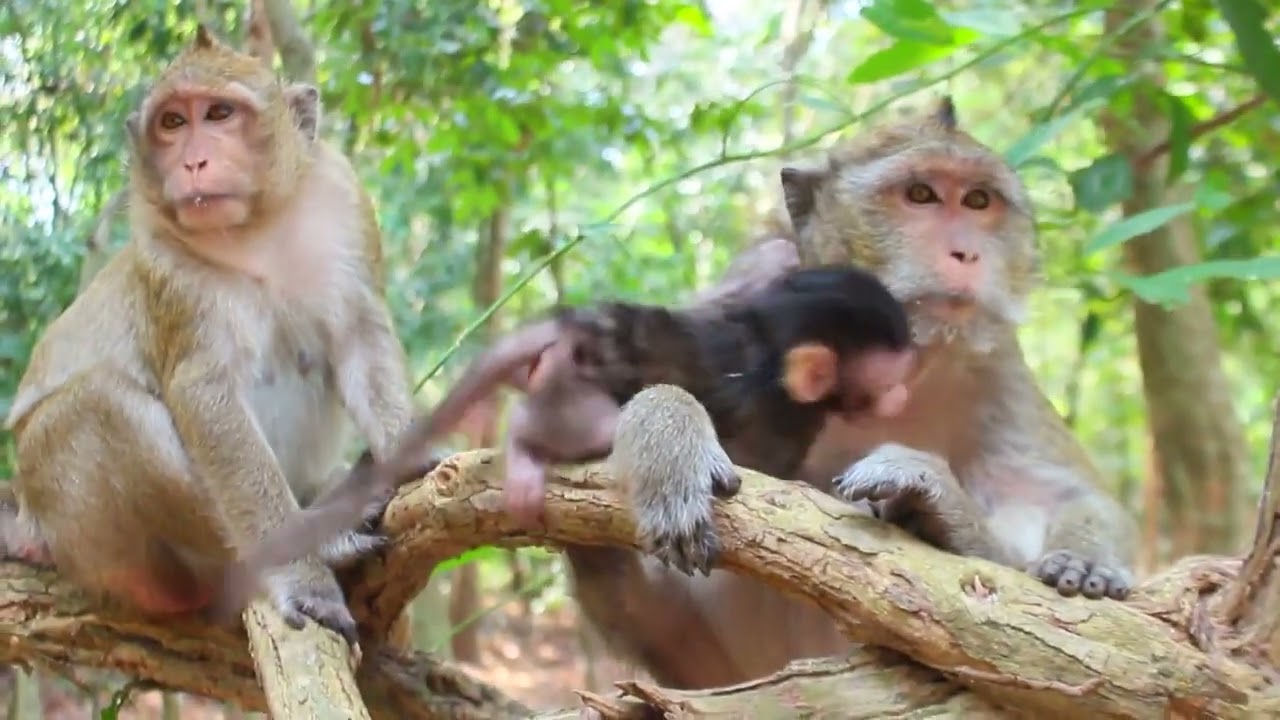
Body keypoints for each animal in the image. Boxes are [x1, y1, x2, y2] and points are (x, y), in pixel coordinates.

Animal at [0, 26, 422, 647]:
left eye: (219, 113)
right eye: (173, 122)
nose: (194, 160)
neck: (256, 230)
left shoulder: (342, 202)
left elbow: (358, 339)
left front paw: (414, 455)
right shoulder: (167, 263)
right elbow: (205, 394)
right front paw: (305, 576)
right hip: (87, 536)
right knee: (97, 408)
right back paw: (323, 536)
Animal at [201, 263, 918, 620]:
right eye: (886, 383)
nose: (900, 400)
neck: (768, 339)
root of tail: (573, 328)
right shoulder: (777, 411)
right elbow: (763, 466)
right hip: (572, 388)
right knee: (590, 424)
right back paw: (525, 450)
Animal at [560, 95, 1141, 690]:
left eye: (979, 200)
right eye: (920, 195)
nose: (966, 254)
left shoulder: (997, 362)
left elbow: (1071, 500)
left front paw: (1079, 558)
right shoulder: (756, 289)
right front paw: (667, 433)